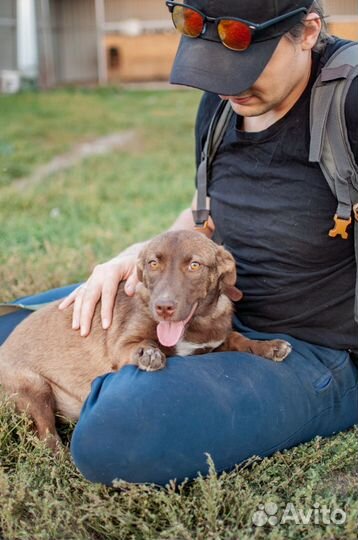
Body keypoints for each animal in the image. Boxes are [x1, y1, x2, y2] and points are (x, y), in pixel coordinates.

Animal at [0, 230, 290, 450]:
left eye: (194, 265)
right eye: (153, 263)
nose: (163, 307)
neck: (193, 327)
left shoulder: (212, 344)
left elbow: (239, 338)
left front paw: (269, 346)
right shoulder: (121, 347)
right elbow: (142, 344)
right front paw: (149, 353)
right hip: (35, 388)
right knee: (47, 439)